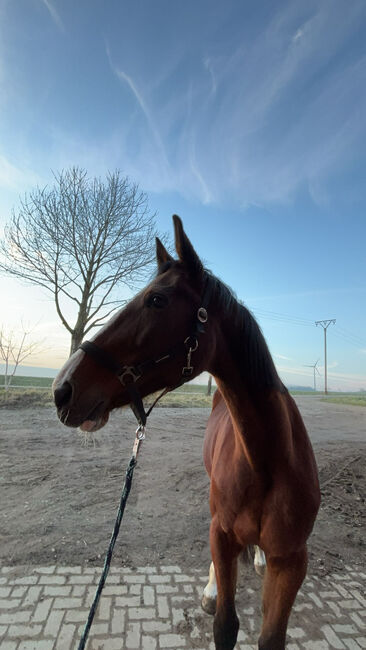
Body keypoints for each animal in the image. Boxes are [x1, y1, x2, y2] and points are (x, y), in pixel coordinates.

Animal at [53, 215, 322, 644]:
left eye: (157, 300)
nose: (62, 389)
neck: (268, 460)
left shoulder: (293, 561)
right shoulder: (222, 534)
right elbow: (225, 623)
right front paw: (216, 595)